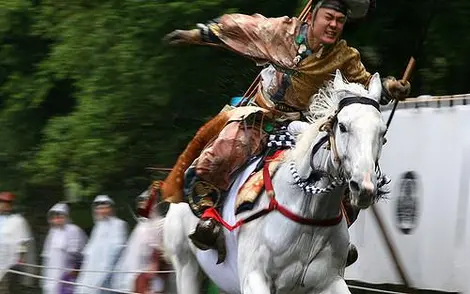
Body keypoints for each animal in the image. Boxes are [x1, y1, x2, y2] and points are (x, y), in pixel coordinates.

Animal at [163, 69, 388, 294]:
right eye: (342, 126)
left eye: (383, 132)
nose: (364, 187)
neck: (309, 214)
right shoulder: (254, 277)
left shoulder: (331, 280)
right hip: (186, 265)